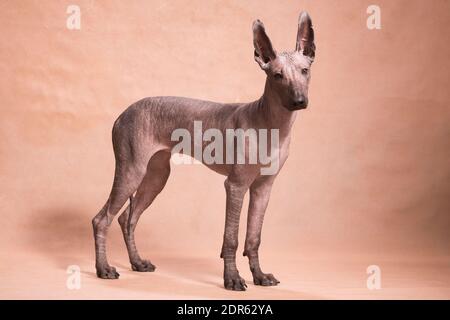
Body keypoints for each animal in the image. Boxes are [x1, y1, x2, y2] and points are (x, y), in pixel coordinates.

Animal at [92, 10, 316, 290]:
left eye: (305, 71)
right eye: (277, 75)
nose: (299, 101)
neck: (270, 124)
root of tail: (122, 114)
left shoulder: (263, 188)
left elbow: (253, 238)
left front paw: (259, 276)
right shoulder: (236, 186)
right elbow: (231, 238)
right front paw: (232, 278)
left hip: (155, 177)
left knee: (127, 219)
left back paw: (137, 262)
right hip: (131, 171)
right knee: (102, 219)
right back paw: (103, 268)